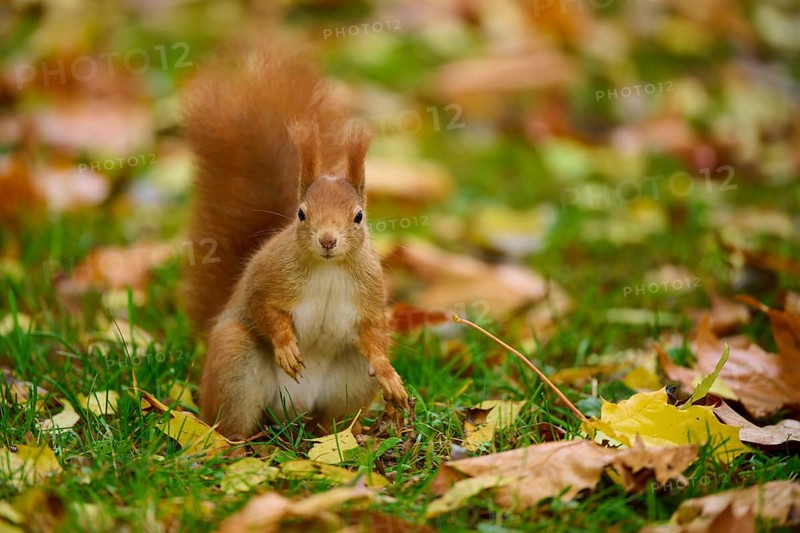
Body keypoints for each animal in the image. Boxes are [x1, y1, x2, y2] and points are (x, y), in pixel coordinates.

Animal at [181, 42, 409, 438]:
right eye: (302, 214)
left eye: (358, 217)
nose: (328, 240)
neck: (328, 270)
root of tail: (293, 414)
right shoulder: (268, 279)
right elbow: (264, 309)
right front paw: (286, 346)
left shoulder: (369, 296)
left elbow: (374, 334)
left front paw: (389, 374)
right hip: (235, 361)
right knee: (231, 422)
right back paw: (234, 445)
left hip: (350, 381)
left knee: (332, 420)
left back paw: (342, 439)